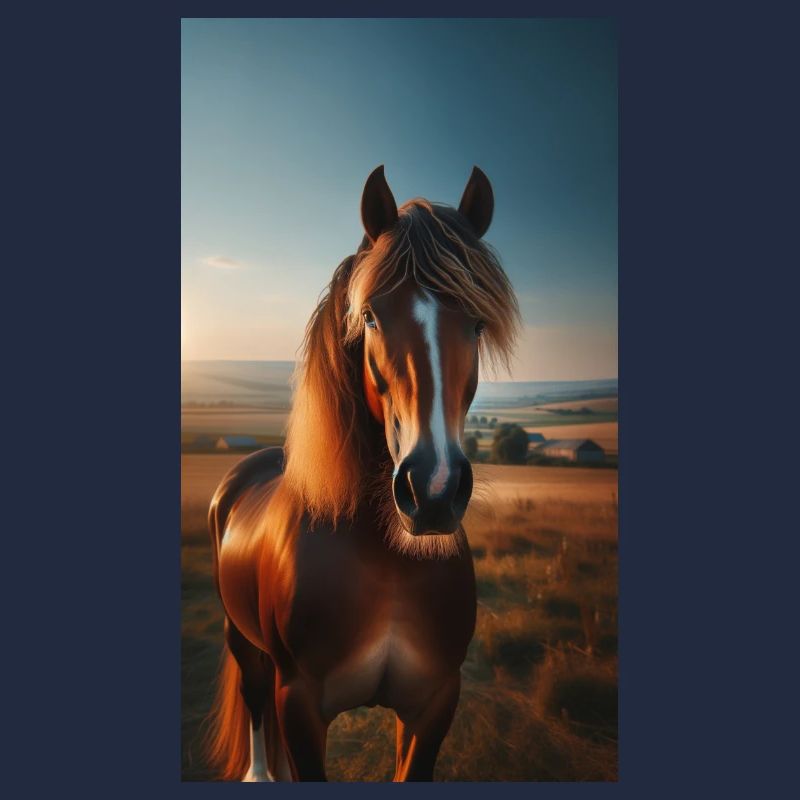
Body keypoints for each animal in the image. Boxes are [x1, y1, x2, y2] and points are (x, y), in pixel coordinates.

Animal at [204, 165, 520, 781]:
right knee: (255, 707)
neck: (389, 560)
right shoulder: (299, 705)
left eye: (475, 324)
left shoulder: (434, 703)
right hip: (240, 641)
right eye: (370, 315)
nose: (433, 491)